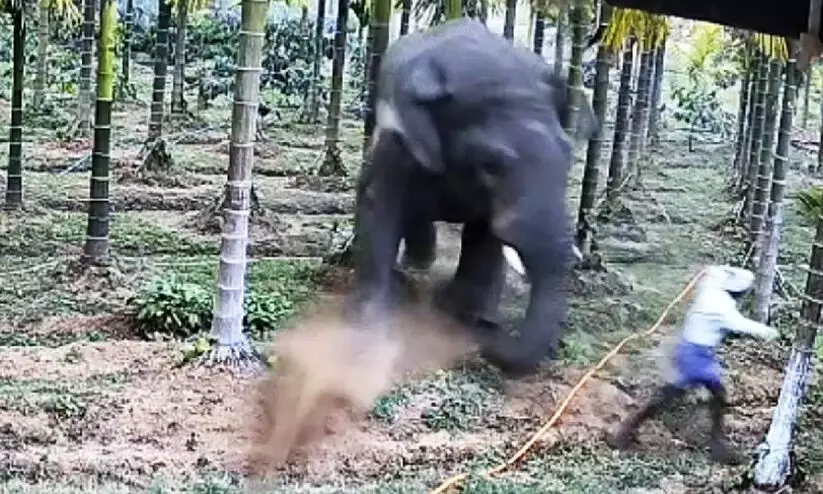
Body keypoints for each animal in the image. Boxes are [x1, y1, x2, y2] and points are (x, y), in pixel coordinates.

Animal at [351, 18, 598, 376]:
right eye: (490, 166)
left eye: (569, 157)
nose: (487, 331)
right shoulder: (396, 142)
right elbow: (380, 207)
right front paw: (373, 326)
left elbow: (485, 235)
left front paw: (462, 313)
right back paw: (416, 269)